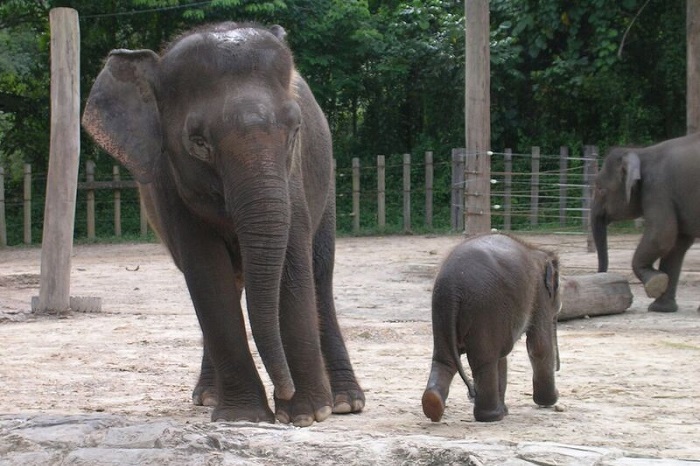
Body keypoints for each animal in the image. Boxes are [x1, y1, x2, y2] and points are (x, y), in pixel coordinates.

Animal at [422, 233, 564, 422]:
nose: (558, 368)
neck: (536, 251)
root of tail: (452, 287)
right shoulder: (539, 293)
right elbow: (539, 347)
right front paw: (549, 401)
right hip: (485, 308)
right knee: (485, 360)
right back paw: (492, 416)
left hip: (443, 312)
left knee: (445, 360)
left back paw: (433, 404)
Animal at [592, 132, 700, 314]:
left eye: (600, 189)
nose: (600, 275)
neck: (641, 152)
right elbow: (677, 244)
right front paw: (661, 308)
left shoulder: (658, 188)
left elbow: (661, 235)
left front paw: (655, 283)